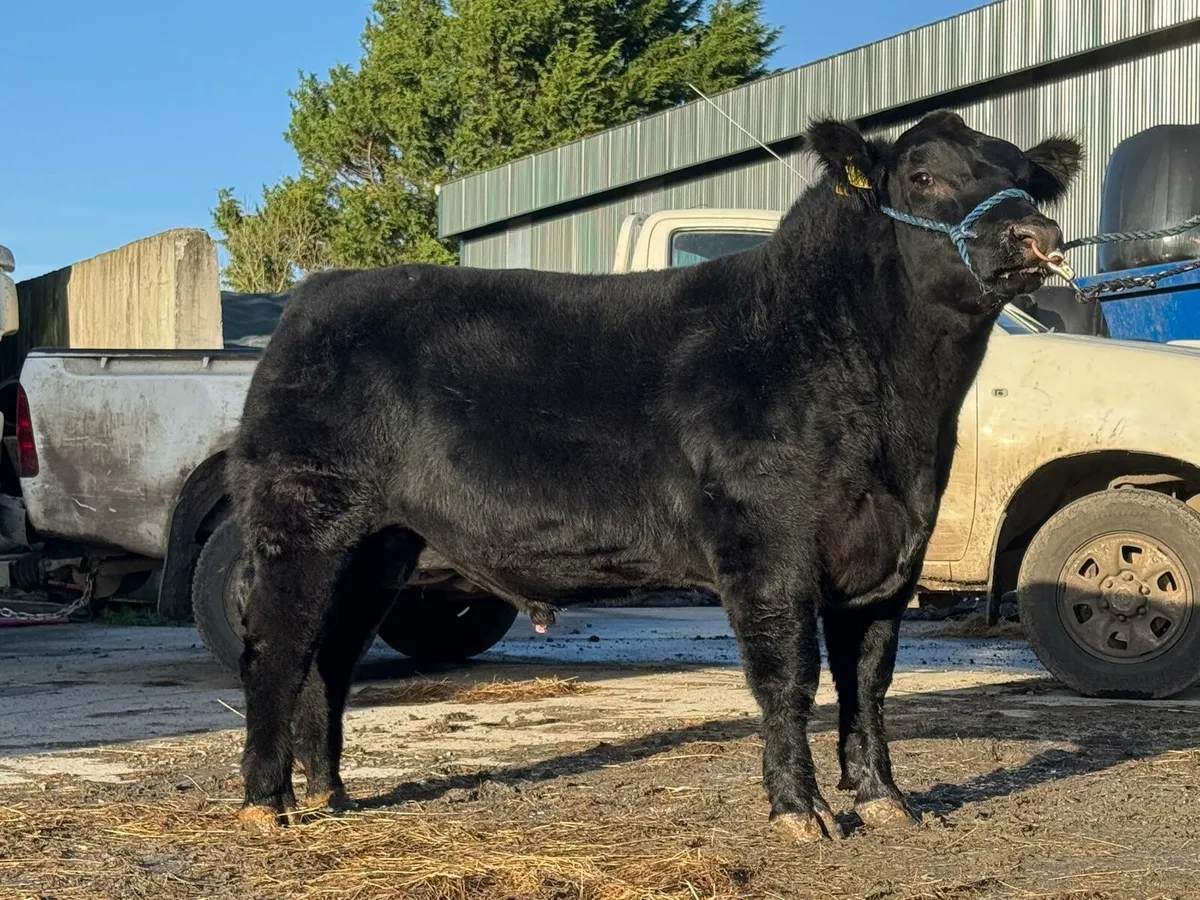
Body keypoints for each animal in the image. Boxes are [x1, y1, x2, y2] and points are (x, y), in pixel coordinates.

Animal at [228, 110, 1082, 840]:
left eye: (1024, 176)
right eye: (924, 177)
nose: (1035, 233)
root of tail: (318, 290)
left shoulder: (890, 553)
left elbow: (868, 679)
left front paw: (884, 798)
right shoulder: (766, 546)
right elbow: (789, 676)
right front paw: (799, 810)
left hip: (379, 544)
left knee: (331, 656)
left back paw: (330, 794)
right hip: (301, 518)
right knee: (277, 647)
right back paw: (268, 804)